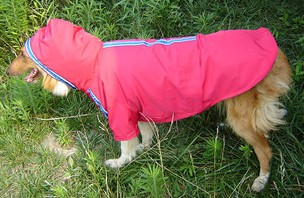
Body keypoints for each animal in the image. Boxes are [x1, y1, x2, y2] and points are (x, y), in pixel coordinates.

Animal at [5, 19, 292, 192]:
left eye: (22, 54)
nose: (6, 73)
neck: (94, 61)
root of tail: (272, 46)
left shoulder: (120, 113)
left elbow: (125, 145)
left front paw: (121, 162)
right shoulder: (138, 109)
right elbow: (144, 134)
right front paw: (144, 149)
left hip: (242, 118)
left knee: (265, 149)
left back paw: (261, 180)